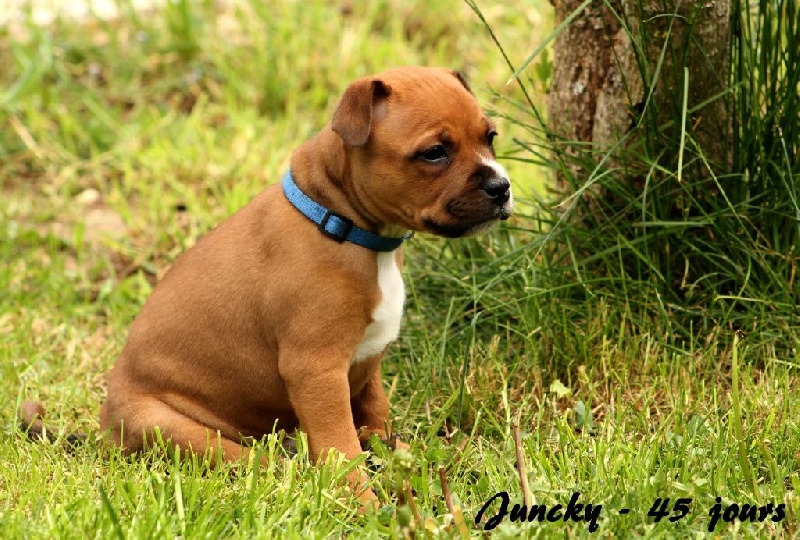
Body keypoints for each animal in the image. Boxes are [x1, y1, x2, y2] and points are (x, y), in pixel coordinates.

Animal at [26, 67, 513, 503]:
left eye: (490, 137)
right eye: (434, 153)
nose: (502, 186)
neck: (343, 222)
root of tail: (103, 432)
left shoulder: (367, 365)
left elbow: (377, 422)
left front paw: (409, 460)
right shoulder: (316, 370)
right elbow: (340, 447)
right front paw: (363, 503)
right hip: (172, 428)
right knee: (253, 462)